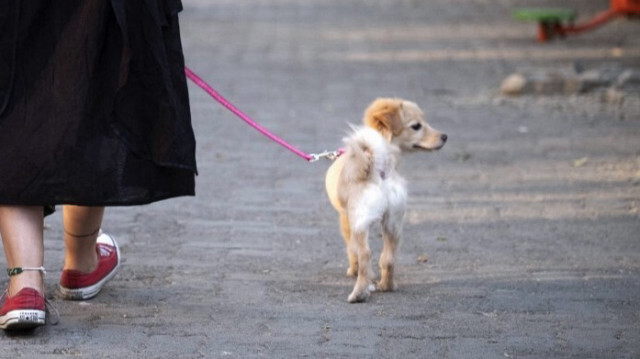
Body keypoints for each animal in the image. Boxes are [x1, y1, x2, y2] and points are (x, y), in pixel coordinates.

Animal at [324, 98, 444, 304]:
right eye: (417, 126)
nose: (445, 136)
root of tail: (378, 169)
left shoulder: (345, 219)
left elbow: (351, 250)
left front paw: (353, 270)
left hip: (360, 223)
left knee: (365, 254)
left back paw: (359, 293)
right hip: (393, 224)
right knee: (388, 259)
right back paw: (386, 286)